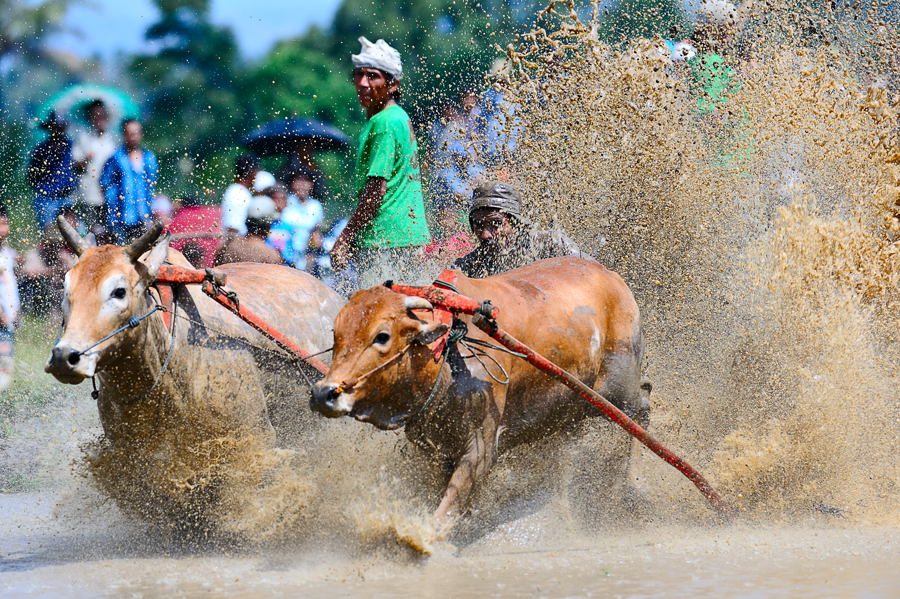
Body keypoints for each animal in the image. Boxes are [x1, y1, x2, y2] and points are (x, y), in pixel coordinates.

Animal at [312, 256, 652, 536]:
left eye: (381, 336)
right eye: (336, 334)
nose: (324, 393)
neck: (446, 353)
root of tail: (612, 277)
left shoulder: (481, 445)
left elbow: (450, 505)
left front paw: (420, 540)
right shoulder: (435, 448)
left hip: (617, 388)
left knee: (643, 407)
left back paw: (631, 486)